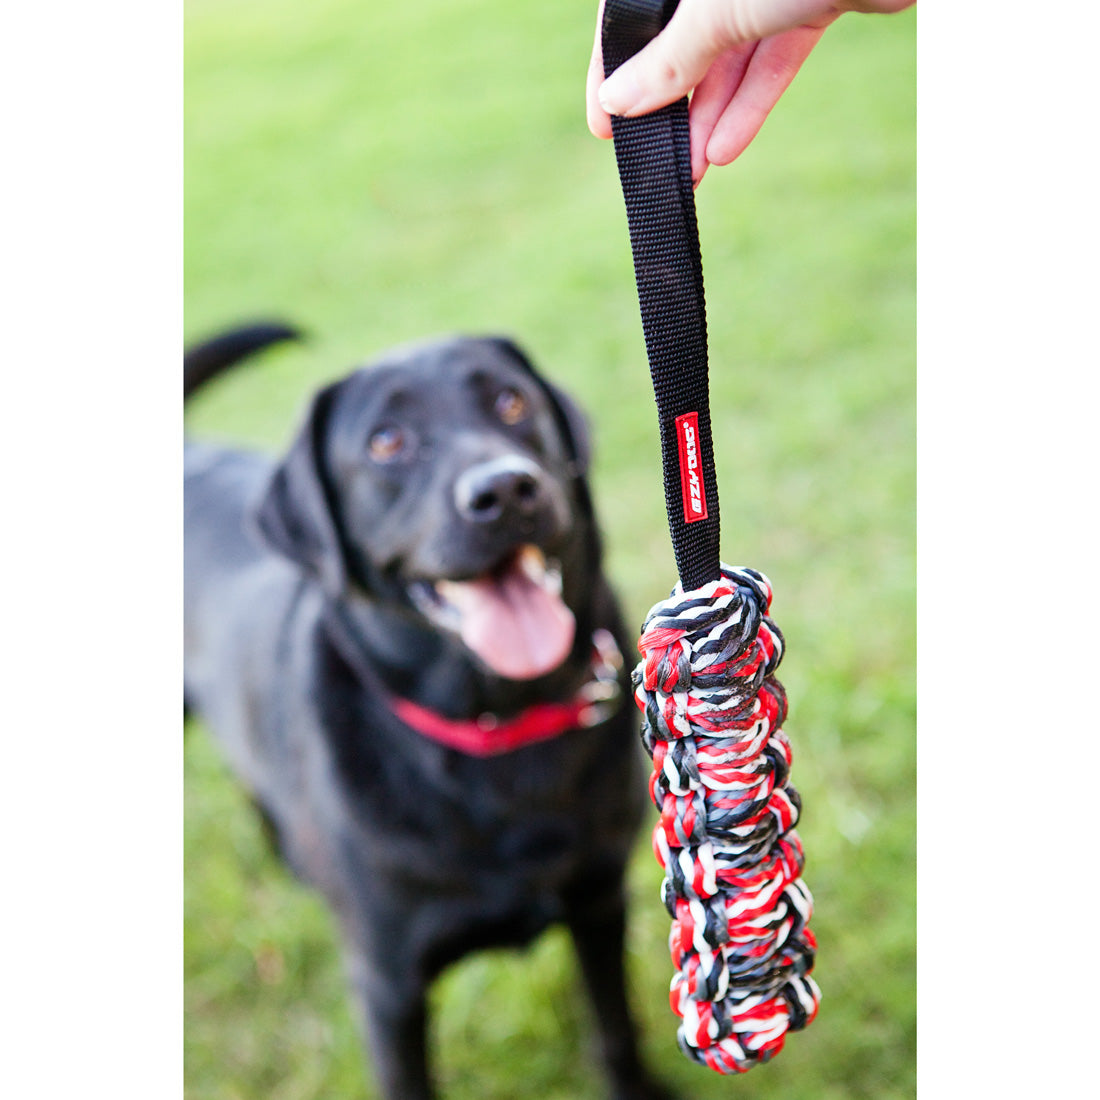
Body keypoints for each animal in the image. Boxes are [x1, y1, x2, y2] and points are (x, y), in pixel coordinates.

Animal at [183, 325, 664, 1100]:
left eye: (510, 401)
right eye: (387, 441)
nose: (505, 489)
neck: (498, 728)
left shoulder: (599, 902)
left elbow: (615, 1027)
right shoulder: (388, 988)